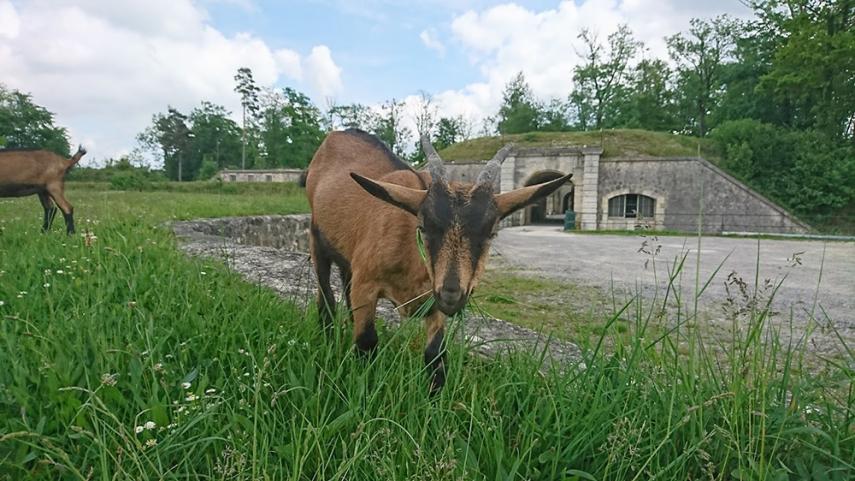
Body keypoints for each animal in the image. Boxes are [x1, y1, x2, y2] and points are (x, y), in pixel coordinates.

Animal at [304, 129, 572, 392]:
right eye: (424, 227)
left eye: (491, 233)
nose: (452, 295)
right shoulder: (367, 284)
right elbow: (366, 342)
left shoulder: (433, 301)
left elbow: (436, 354)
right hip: (317, 239)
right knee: (326, 297)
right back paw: (327, 336)